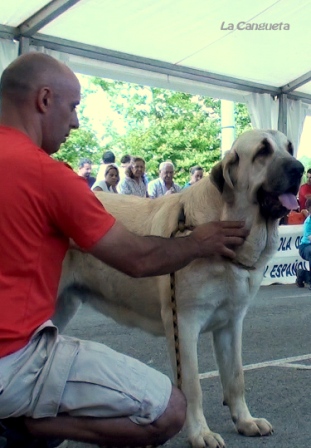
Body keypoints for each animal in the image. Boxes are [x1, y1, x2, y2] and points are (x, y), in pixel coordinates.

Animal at [54, 130, 304, 448]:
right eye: (263, 151)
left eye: (289, 148)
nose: (299, 168)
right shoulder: (183, 324)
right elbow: (192, 386)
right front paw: (201, 433)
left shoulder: (231, 324)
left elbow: (235, 377)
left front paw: (245, 421)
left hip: (63, 306)